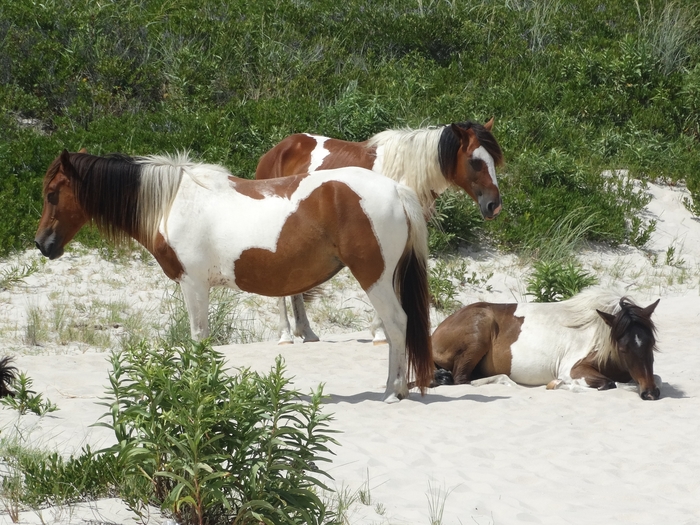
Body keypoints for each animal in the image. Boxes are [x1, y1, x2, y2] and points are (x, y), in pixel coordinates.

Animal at [37, 150, 438, 402]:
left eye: (53, 194)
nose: (42, 244)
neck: (173, 203)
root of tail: (395, 189)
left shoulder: (194, 285)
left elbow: (198, 338)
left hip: (375, 278)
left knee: (397, 324)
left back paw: (392, 392)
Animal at [258, 117, 504, 344]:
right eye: (475, 161)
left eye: (493, 160)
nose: (494, 205)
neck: (406, 173)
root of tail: (276, 151)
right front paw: (380, 332)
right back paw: (285, 335)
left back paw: (306, 332)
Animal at [432, 288, 660, 400]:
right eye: (623, 349)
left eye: (651, 344)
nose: (650, 394)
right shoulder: (573, 370)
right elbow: (608, 383)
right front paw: (558, 384)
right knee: (462, 379)